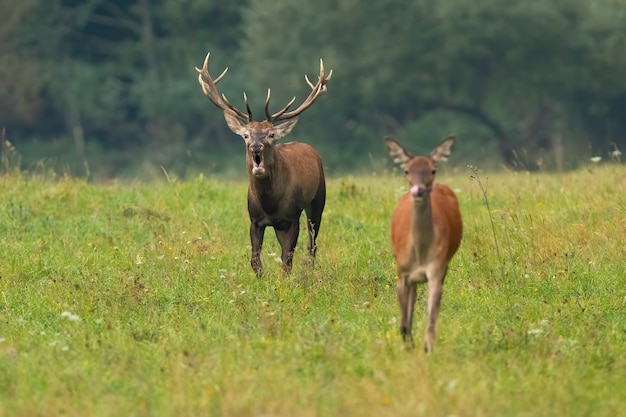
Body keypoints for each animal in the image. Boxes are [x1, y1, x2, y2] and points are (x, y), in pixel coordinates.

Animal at [195, 52, 332, 276]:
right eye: (245, 135)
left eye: (271, 134)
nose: (255, 147)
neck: (270, 203)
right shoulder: (255, 220)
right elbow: (255, 260)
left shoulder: (291, 218)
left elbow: (287, 260)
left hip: (318, 199)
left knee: (312, 244)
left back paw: (310, 271)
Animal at [382, 136, 460, 352]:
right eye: (407, 170)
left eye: (433, 170)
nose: (419, 191)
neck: (420, 253)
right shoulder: (401, 273)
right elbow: (403, 322)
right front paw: (408, 346)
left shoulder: (436, 269)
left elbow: (431, 320)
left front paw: (428, 349)